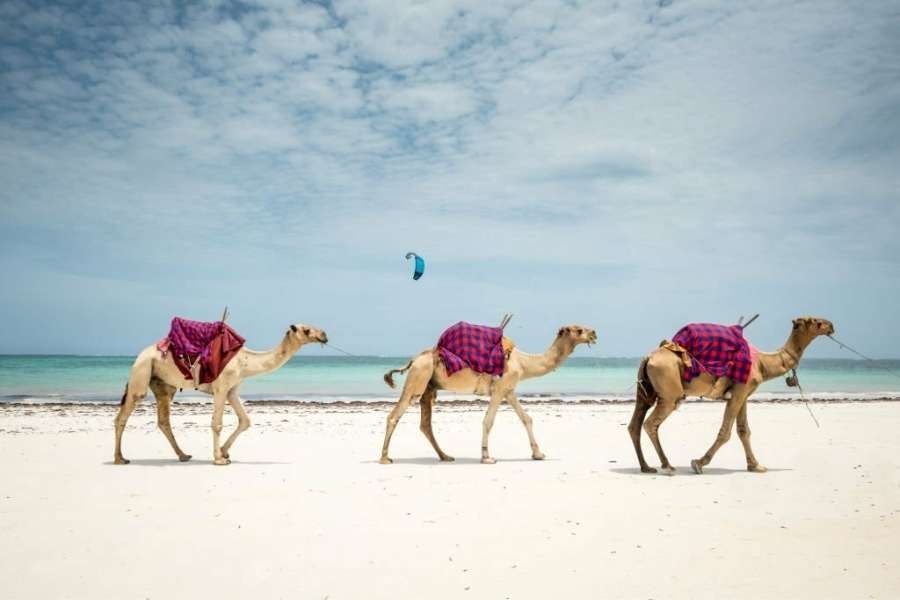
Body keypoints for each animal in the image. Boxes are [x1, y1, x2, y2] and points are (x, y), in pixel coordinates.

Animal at [114, 323, 327, 465]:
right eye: (306, 330)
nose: (324, 335)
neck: (244, 361)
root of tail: (138, 356)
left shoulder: (232, 390)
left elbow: (245, 421)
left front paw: (225, 453)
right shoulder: (220, 388)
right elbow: (216, 424)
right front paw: (219, 459)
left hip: (163, 385)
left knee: (163, 420)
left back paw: (183, 455)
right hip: (142, 372)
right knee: (124, 414)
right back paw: (120, 458)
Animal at [380, 325, 597, 464]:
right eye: (579, 329)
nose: (594, 333)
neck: (523, 362)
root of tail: (414, 359)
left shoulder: (509, 390)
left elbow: (526, 418)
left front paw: (538, 454)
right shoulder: (499, 389)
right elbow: (488, 421)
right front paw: (487, 457)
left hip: (428, 386)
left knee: (425, 424)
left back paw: (446, 456)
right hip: (418, 379)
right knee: (394, 416)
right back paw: (384, 458)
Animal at [628, 316, 834, 475]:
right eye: (816, 321)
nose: (831, 325)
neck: (762, 363)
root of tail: (648, 357)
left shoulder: (743, 393)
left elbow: (743, 430)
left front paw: (756, 466)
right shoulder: (740, 391)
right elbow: (725, 432)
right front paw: (698, 463)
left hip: (646, 391)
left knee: (634, 424)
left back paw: (646, 467)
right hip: (670, 393)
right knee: (650, 423)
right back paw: (667, 465)